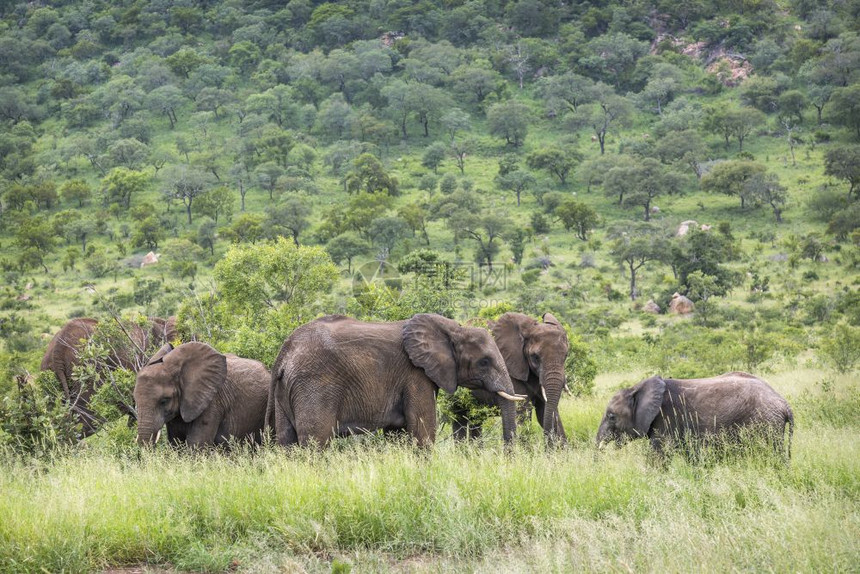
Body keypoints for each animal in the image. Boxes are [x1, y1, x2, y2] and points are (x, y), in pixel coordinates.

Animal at [268, 316, 524, 450]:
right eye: (484, 362)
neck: (453, 328)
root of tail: (284, 354)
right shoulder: (416, 375)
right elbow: (423, 431)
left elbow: (397, 434)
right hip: (314, 386)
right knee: (315, 443)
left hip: (286, 391)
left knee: (287, 443)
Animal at [450, 316, 572, 446]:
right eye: (535, 357)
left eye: (565, 355)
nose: (548, 446)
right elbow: (523, 412)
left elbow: (543, 410)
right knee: (459, 418)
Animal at [596, 374, 792, 460]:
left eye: (612, 416)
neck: (637, 388)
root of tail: (784, 404)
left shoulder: (666, 419)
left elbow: (659, 456)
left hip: (765, 423)